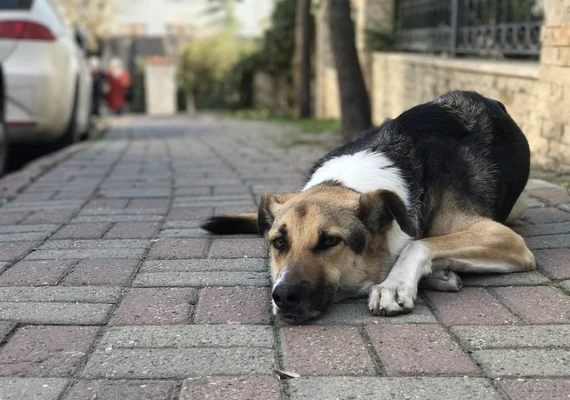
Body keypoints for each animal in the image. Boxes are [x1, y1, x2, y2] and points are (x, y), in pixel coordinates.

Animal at [202, 90, 536, 322]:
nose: (283, 296)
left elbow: (418, 244)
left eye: (330, 241)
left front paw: (394, 284)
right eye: (279, 243)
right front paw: (436, 275)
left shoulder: (504, 237)